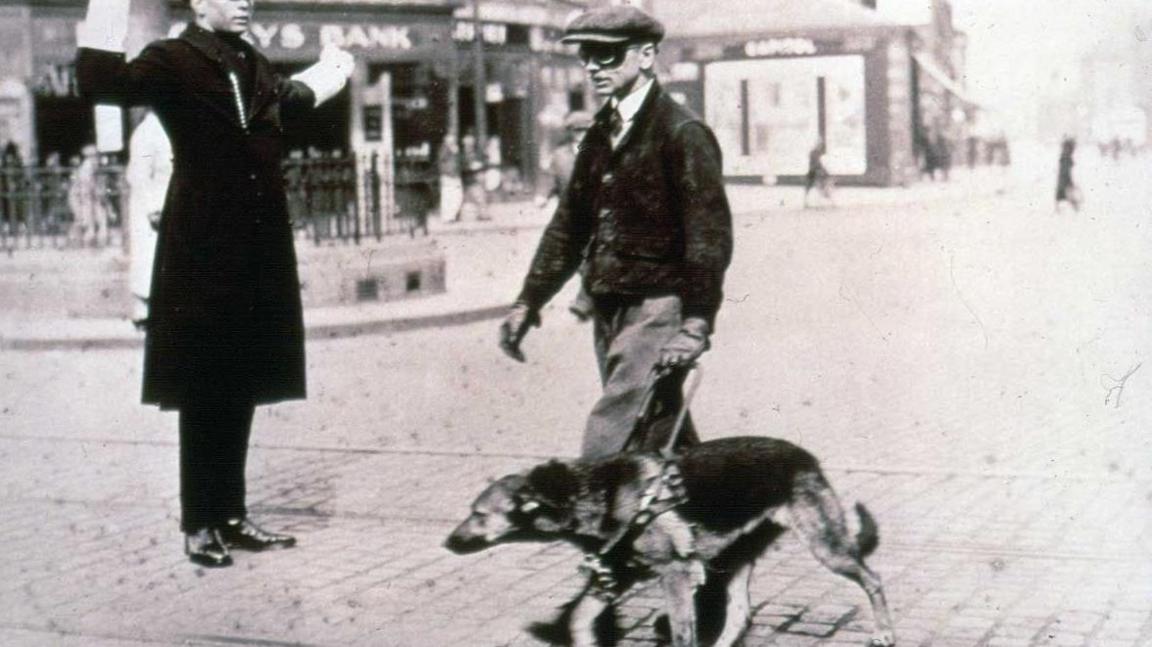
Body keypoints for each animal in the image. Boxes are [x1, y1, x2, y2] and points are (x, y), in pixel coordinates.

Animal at [444, 432, 893, 644]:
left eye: (478, 515)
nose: (447, 543)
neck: (595, 493)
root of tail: (806, 456)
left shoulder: (674, 576)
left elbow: (681, 633)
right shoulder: (614, 577)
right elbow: (578, 618)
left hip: (827, 547)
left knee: (873, 580)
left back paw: (885, 631)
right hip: (730, 560)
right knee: (740, 613)